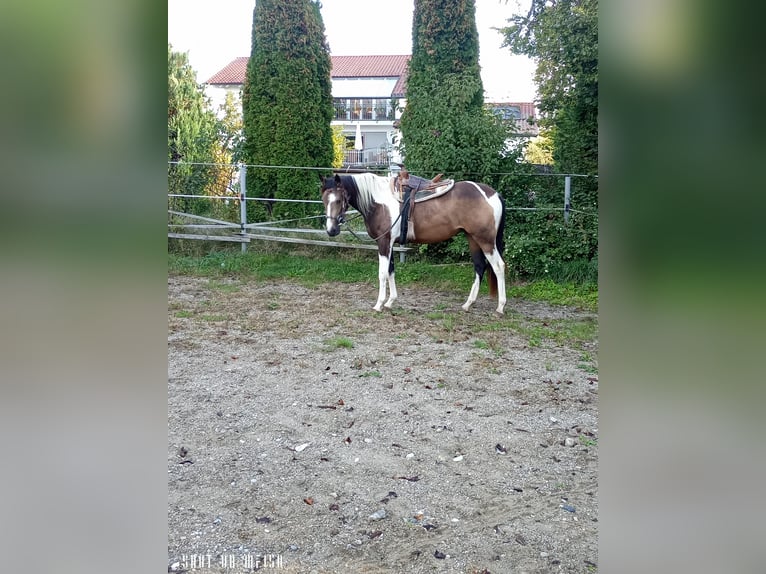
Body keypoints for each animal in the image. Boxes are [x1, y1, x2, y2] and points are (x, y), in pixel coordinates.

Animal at [320, 173, 508, 316]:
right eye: (324, 200)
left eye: (338, 200)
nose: (331, 230)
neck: (377, 201)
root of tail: (493, 194)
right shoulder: (390, 244)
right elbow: (391, 271)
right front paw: (390, 302)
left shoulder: (384, 242)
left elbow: (382, 273)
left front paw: (379, 304)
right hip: (473, 238)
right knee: (479, 267)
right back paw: (468, 304)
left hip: (485, 240)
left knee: (498, 266)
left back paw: (500, 307)